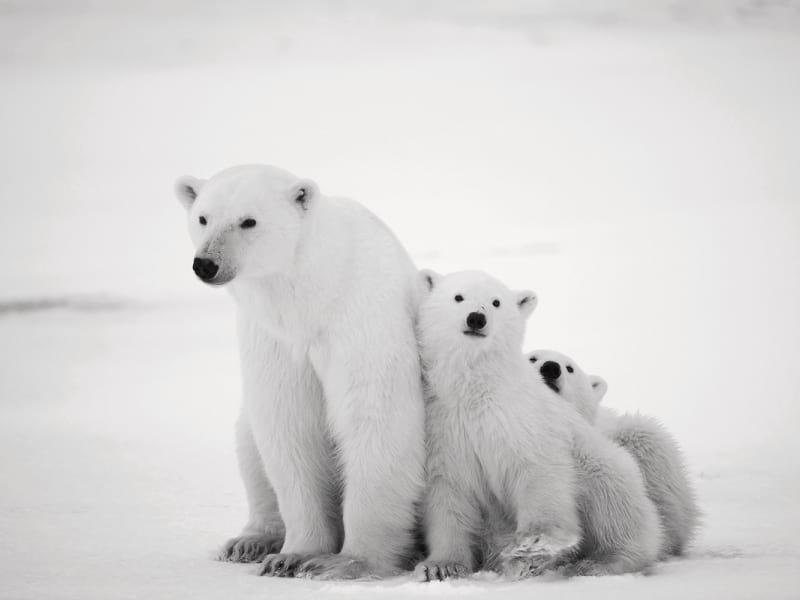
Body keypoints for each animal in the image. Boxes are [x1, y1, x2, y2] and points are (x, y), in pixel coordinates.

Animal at [173, 166, 424, 580]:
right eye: (203, 218)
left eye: (248, 221)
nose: (206, 264)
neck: (313, 296)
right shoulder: (273, 339)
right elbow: (289, 426)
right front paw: (293, 556)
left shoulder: (362, 319)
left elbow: (375, 418)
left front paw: (347, 562)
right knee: (249, 444)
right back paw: (250, 541)